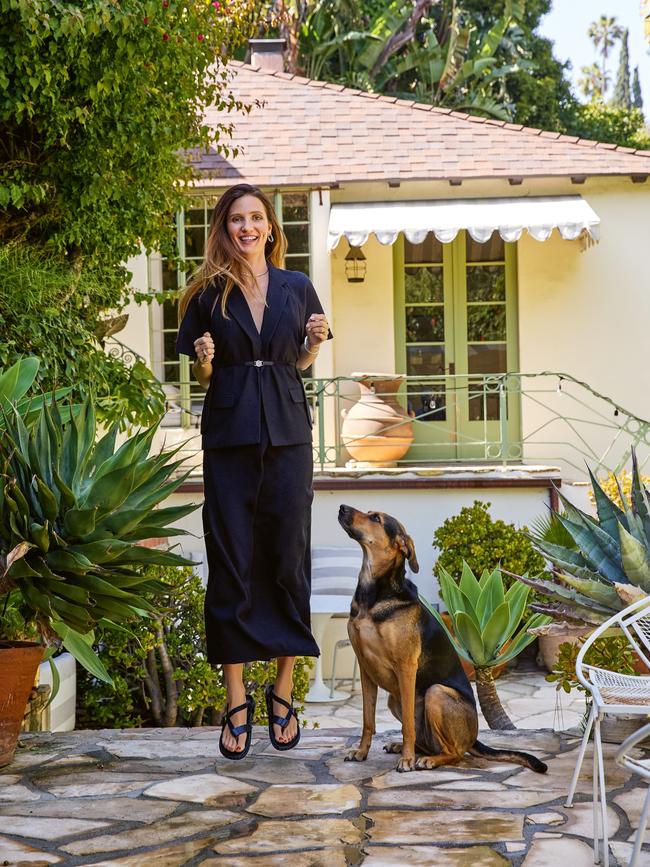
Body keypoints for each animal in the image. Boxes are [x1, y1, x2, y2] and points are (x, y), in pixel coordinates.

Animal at [336, 506, 544, 776]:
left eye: (375, 518)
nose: (342, 508)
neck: (373, 596)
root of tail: (473, 737)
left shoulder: (406, 667)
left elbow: (407, 726)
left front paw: (406, 761)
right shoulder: (365, 669)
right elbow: (368, 720)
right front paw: (361, 752)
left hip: (436, 693)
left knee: (455, 753)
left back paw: (426, 759)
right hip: (395, 699)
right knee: (428, 741)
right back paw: (405, 749)